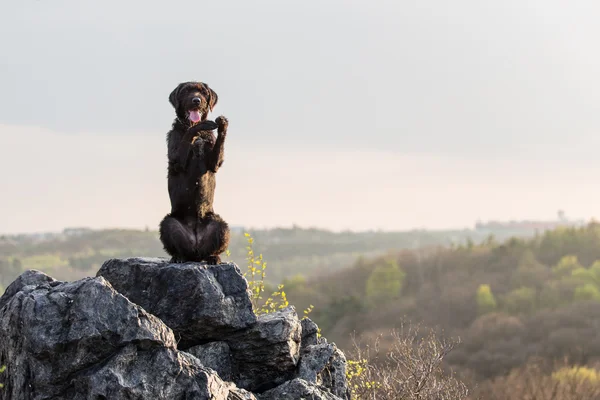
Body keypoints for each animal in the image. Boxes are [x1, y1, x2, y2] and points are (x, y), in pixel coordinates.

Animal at [159, 81, 230, 262]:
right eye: (186, 91)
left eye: (203, 92)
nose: (196, 100)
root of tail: (196, 250)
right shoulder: (177, 160)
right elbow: (187, 137)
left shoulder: (214, 162)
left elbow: (217, 149)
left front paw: (222, 123)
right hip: (169, 224)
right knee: (177, 246)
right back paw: (178, 257)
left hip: (220, 225)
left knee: (212, 247)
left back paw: (213, 258)